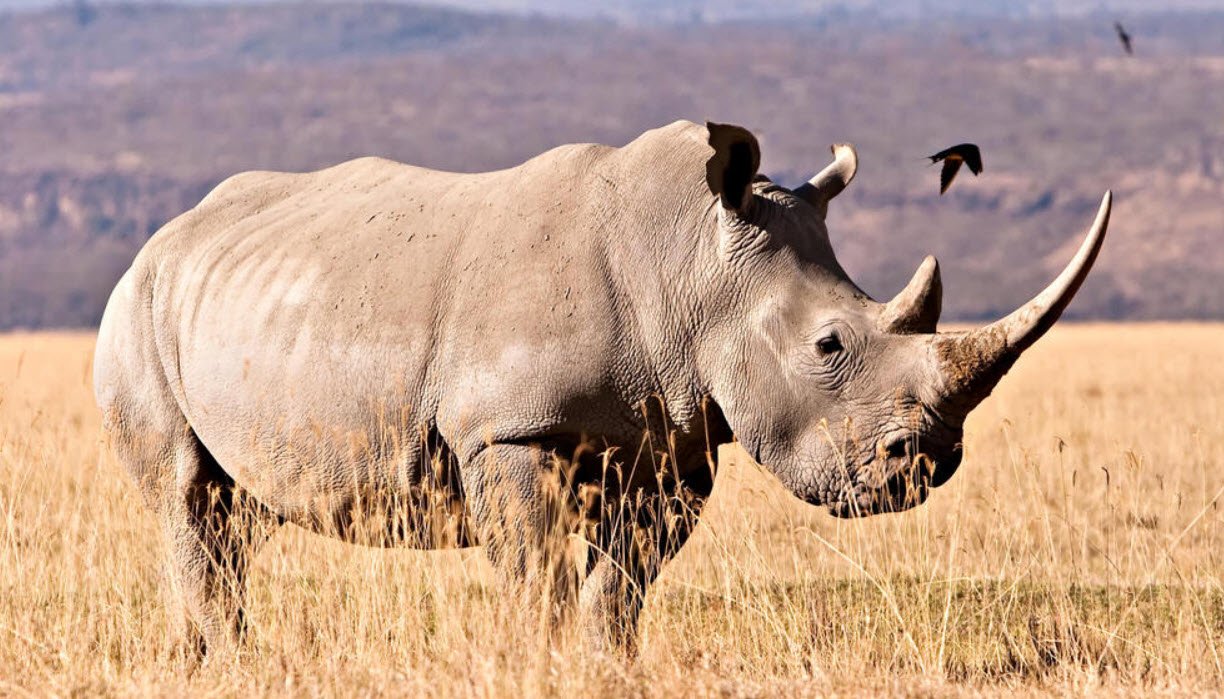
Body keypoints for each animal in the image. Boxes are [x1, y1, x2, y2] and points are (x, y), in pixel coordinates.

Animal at [95, 118, 1111, 651]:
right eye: (829, 345)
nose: (927, 462)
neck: (692, 263)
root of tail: (166, 236)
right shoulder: (509, 429)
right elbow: (535, 573)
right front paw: (535, 659)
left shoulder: (678, 441)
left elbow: (621, 583)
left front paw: (602, 662)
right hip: (136, 308)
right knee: (188, 494)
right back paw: (228, 655)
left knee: (234, 516)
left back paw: (215, 654)